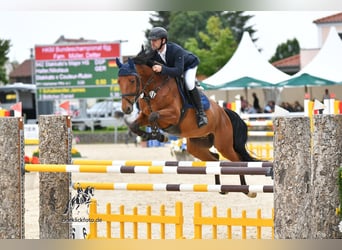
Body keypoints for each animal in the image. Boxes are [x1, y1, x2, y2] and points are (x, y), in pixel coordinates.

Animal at [115, 47, 260, 196]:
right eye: (118, 81)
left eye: (132, 80)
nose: (126, 109)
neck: (154, 89)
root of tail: (224, 112)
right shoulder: (144, 115)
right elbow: (134, 126)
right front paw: (153, 135)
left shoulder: (173, 115)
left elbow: (153, 116)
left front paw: (159, 135)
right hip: (196, 146)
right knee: (215, 159)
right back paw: (220, 188)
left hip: (223, 144)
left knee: (237, 160)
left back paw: (247, 190)